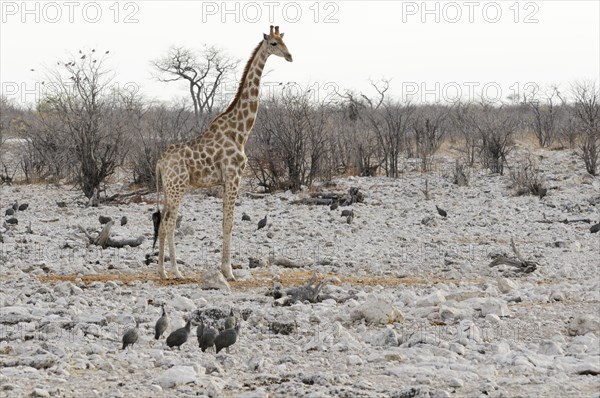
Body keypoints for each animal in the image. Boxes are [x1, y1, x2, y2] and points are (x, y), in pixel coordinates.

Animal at [154, 25, 292, 280]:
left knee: (162, 222)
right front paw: (228, 272)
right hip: (178, 186)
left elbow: (224, 222)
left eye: (285, 41)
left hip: (169, 189)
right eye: (274, 43)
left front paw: (225, 269)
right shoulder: (234, 176)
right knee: (169, 223)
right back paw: (176, 271)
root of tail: (160, 162)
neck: (241, 131)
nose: (290, 56)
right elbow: (229, 223)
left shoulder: (226, 180)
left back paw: (161, 271)